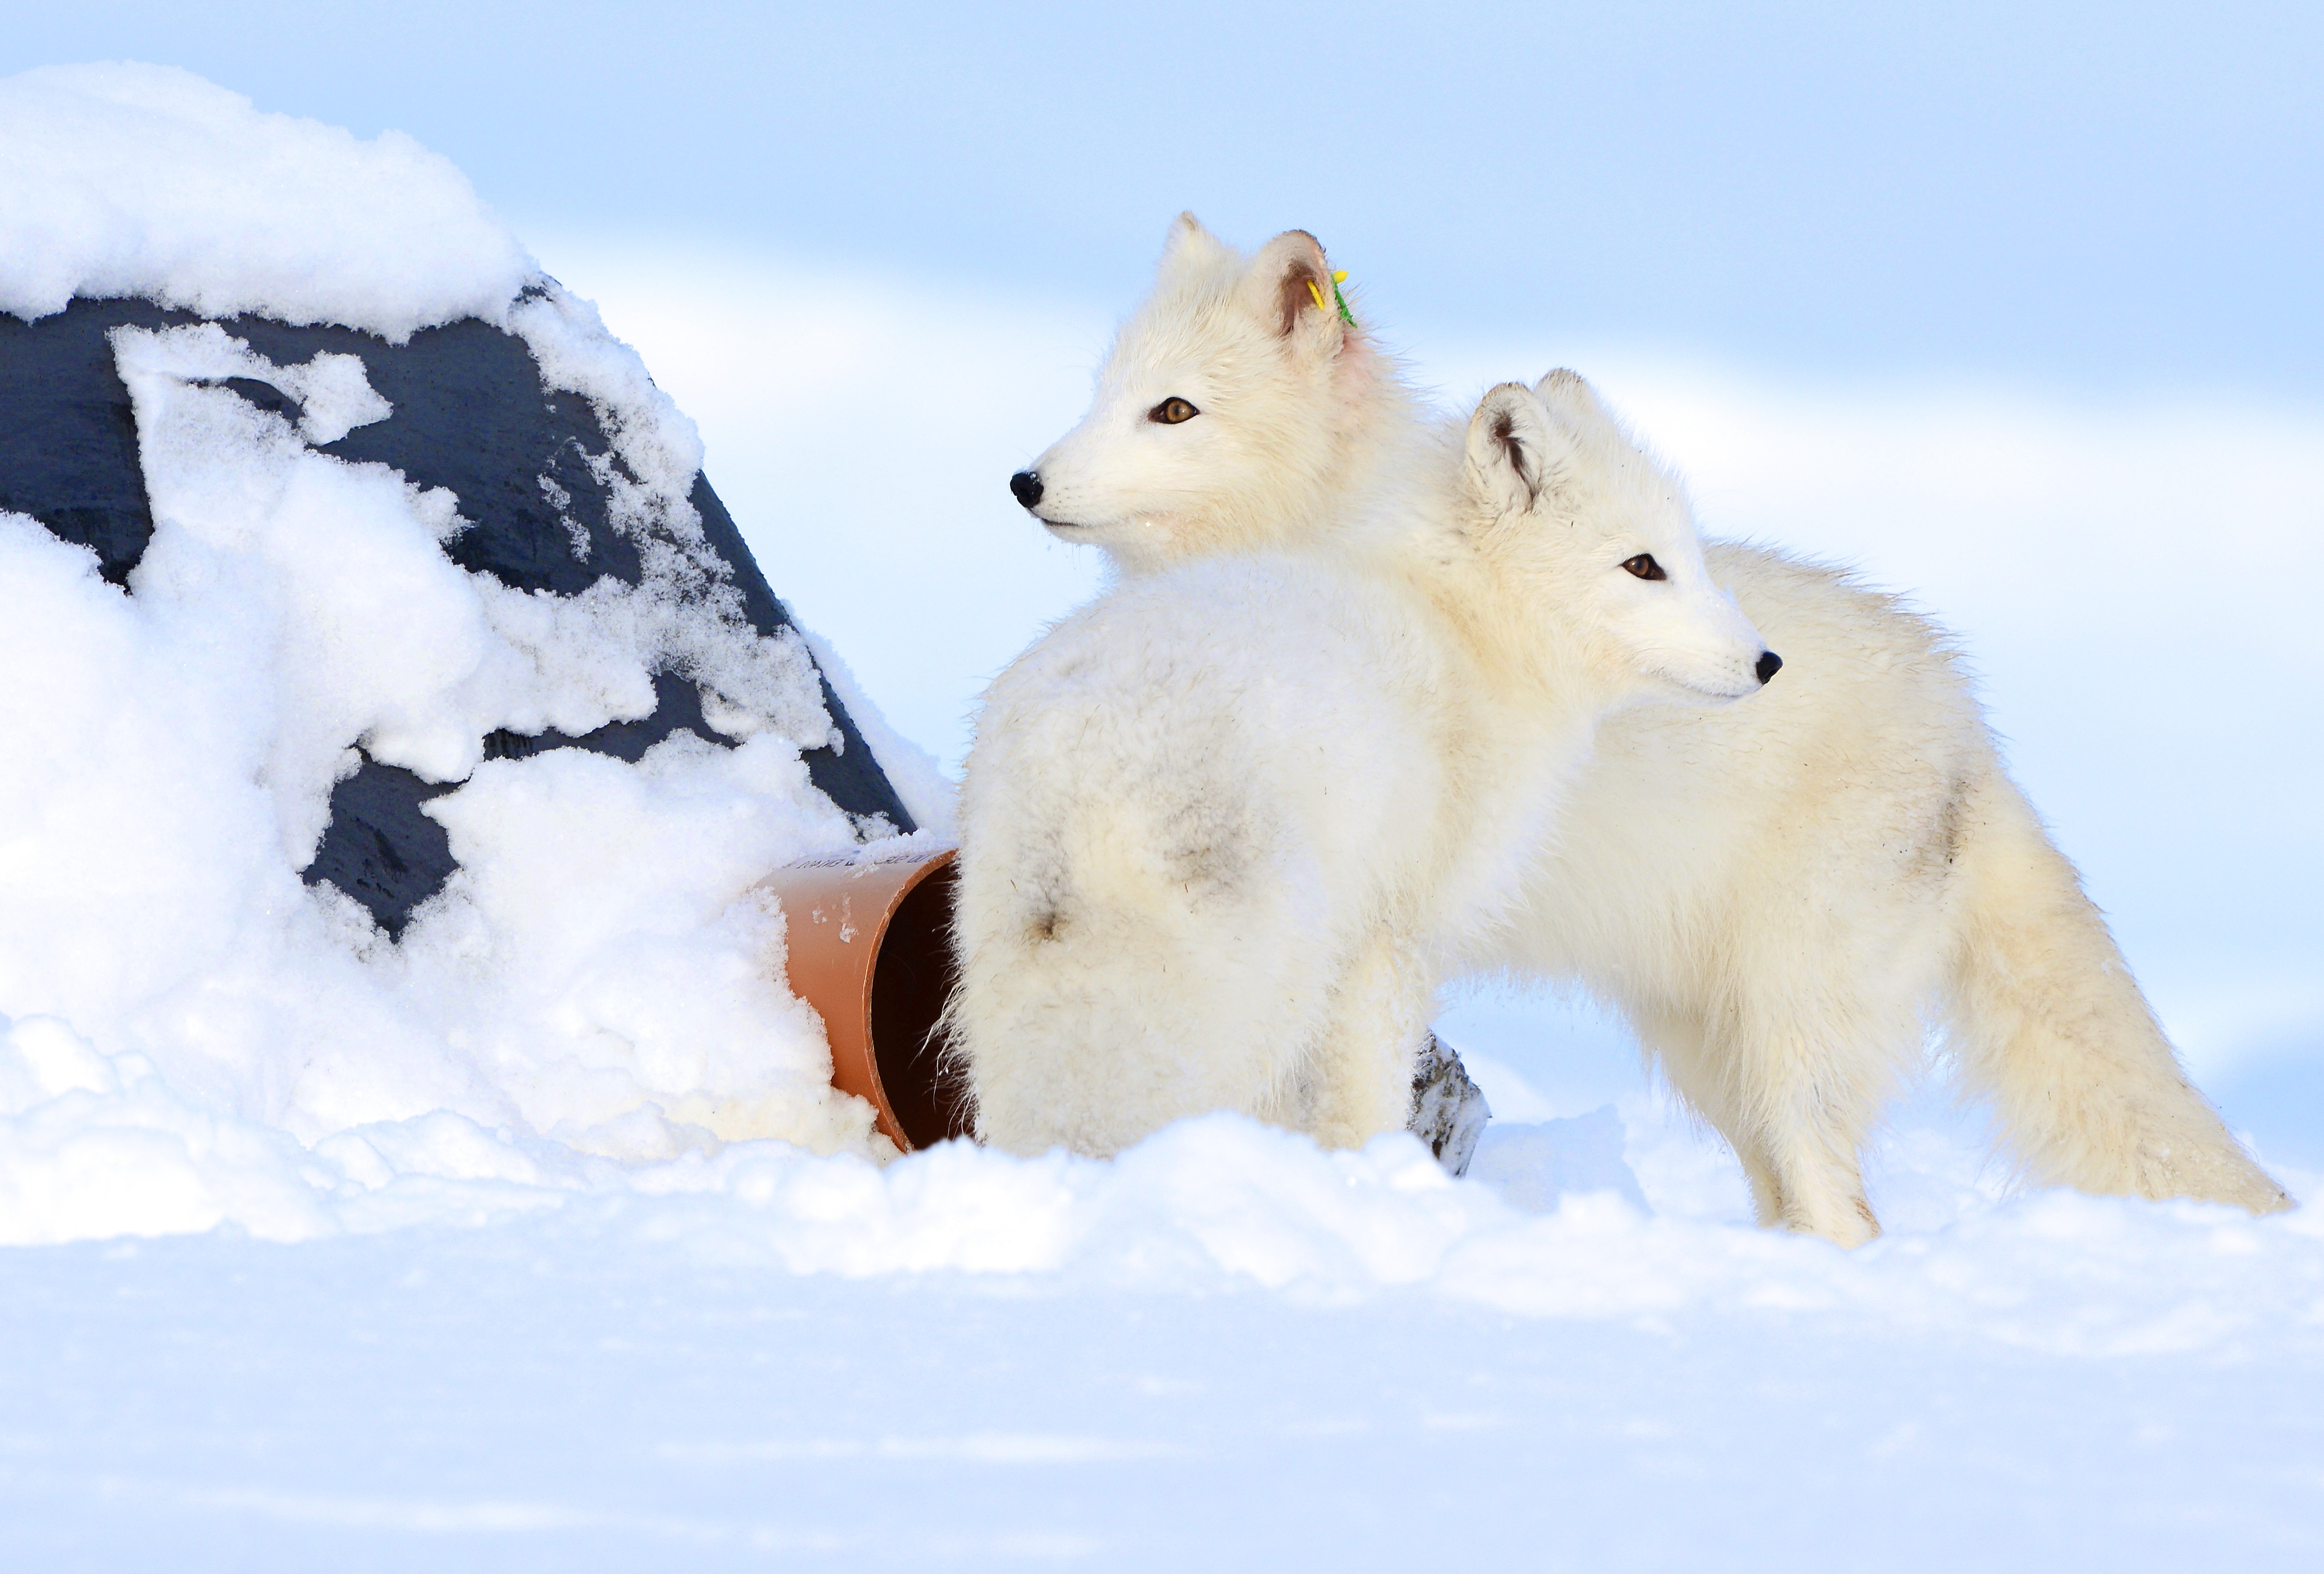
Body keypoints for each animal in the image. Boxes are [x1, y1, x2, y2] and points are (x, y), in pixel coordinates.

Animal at [953, 381, 1766, 1153]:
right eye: (1644, 567)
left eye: (1688, 560)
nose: (1769, 662)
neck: (1468, 626)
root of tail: (1079, 751)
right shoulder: (1391, 943)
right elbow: (1367, 1099)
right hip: (1264, 989)